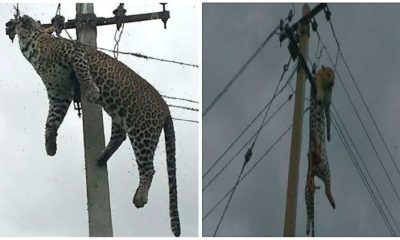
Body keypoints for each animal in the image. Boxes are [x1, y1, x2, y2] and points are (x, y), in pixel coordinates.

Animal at [13, 13, 180, 236]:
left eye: (32, 21)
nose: (23, 16)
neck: (33, 46)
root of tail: (166, 107)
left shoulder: (74, 53)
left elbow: (83, 72)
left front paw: (92, 91)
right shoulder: (59, 92)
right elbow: (51, 121)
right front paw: (50, 146)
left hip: (142, 131)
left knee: (149, 168)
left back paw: (140, 197)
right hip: (119, 114)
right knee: (119, 137)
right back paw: (101, 158)